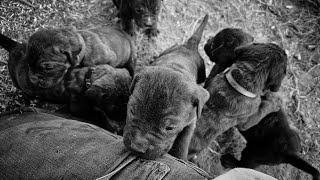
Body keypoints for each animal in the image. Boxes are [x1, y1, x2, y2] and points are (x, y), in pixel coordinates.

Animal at [124, 14, 210, 160]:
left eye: (170, 128)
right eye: (132, 111)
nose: (137, 147)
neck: (176, 68)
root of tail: (188, 46)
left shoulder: (191, 122)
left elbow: (183, 142)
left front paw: (181, 157)